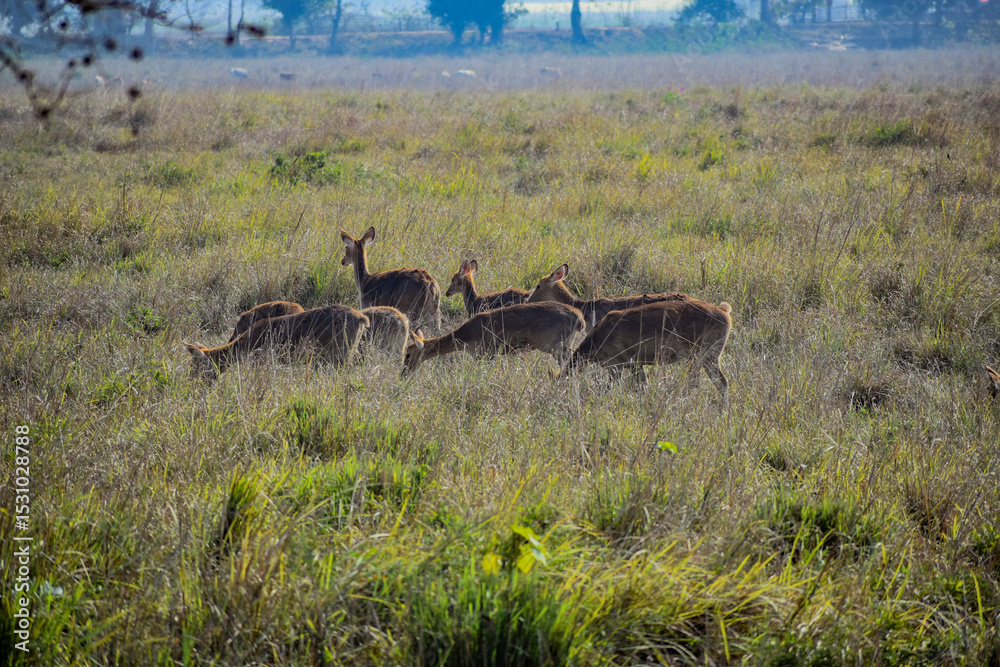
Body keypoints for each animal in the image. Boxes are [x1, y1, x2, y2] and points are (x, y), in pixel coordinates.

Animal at [403, 302, 585, 375]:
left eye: (408, 354)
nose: (403, 373)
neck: (466, 335)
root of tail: (579, 319)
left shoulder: (485, 353)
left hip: (556, 347)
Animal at [564, 298, 732, 402]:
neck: (597, 339)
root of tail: (724, 311)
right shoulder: (635, 364)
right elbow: (644, 387)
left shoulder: (617, 364)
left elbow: (606, 390)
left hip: (708, 355)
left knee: (721, 382)